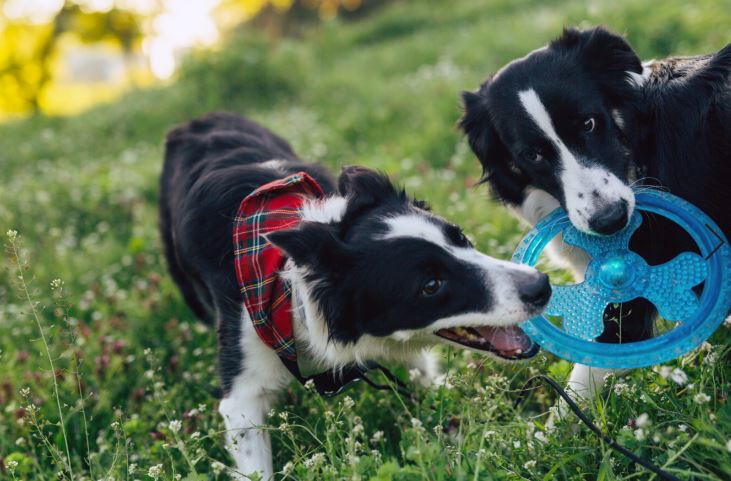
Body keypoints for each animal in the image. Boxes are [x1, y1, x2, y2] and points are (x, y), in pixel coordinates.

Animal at [159, 111, 548, 476]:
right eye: (430, 285)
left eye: (461, 237)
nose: (541, 286)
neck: (291, 288)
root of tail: (196, 121)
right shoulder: (242, 392)